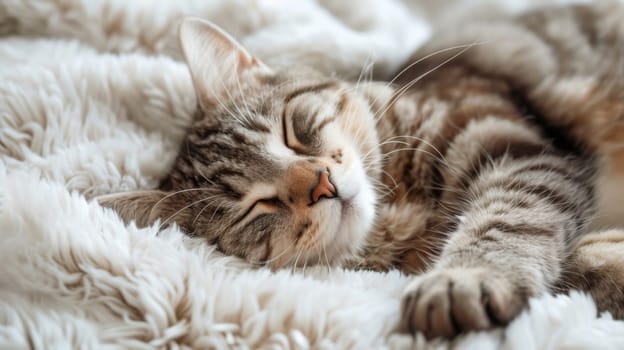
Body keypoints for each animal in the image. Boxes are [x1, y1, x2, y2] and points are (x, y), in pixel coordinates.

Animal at [100, 2, 624, 340]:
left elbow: (506, 222)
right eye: (257, 207)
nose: (321, 185)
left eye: (291, 132)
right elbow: (570, 257)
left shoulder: (515, 148)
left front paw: (460, 281)